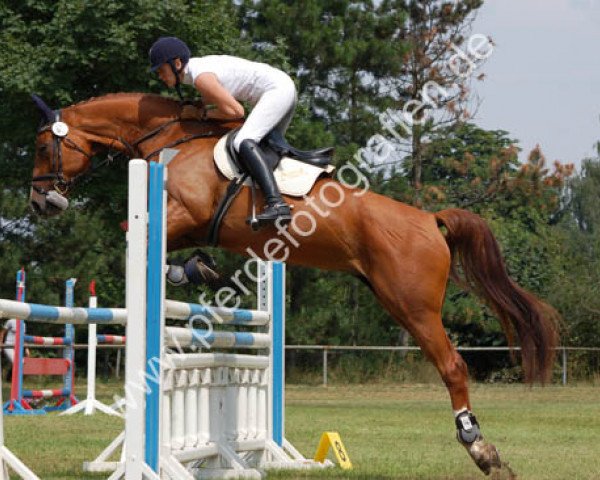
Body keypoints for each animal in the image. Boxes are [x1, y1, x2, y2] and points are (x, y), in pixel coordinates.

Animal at [30, 93, 556, 476]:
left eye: (39, 147)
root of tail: (429, 218)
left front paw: (189, 271)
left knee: (452, 366)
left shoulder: (183, 214)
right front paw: (202, 269)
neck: (173, 141)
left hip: (412, 306)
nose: (41, 203)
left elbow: (132, 232)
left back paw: (480, 449)